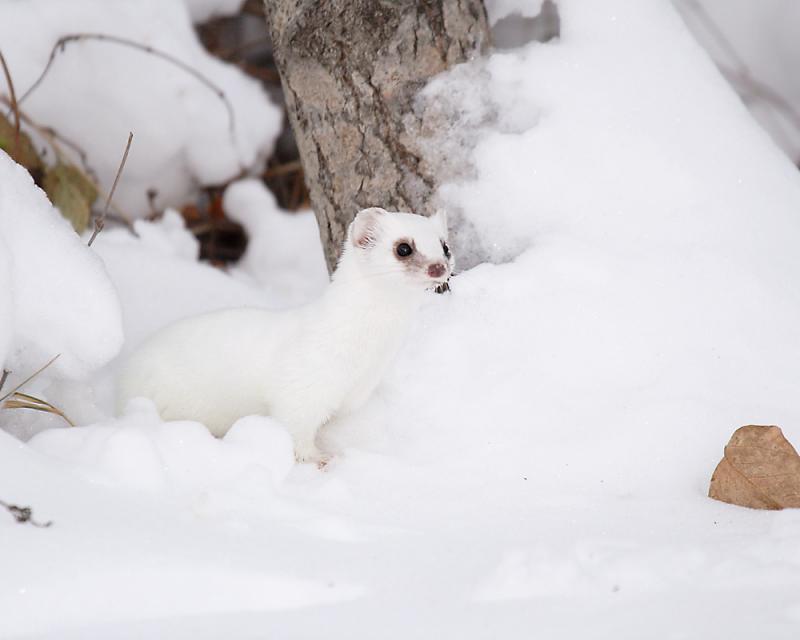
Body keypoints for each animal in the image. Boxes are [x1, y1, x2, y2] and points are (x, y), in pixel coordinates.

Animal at [119, 208, 456, 462]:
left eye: (445, 246)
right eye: (403, 248)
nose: (439, 267)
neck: (364, 357)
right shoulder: (301, 386)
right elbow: (295, 426)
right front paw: (318, 458)